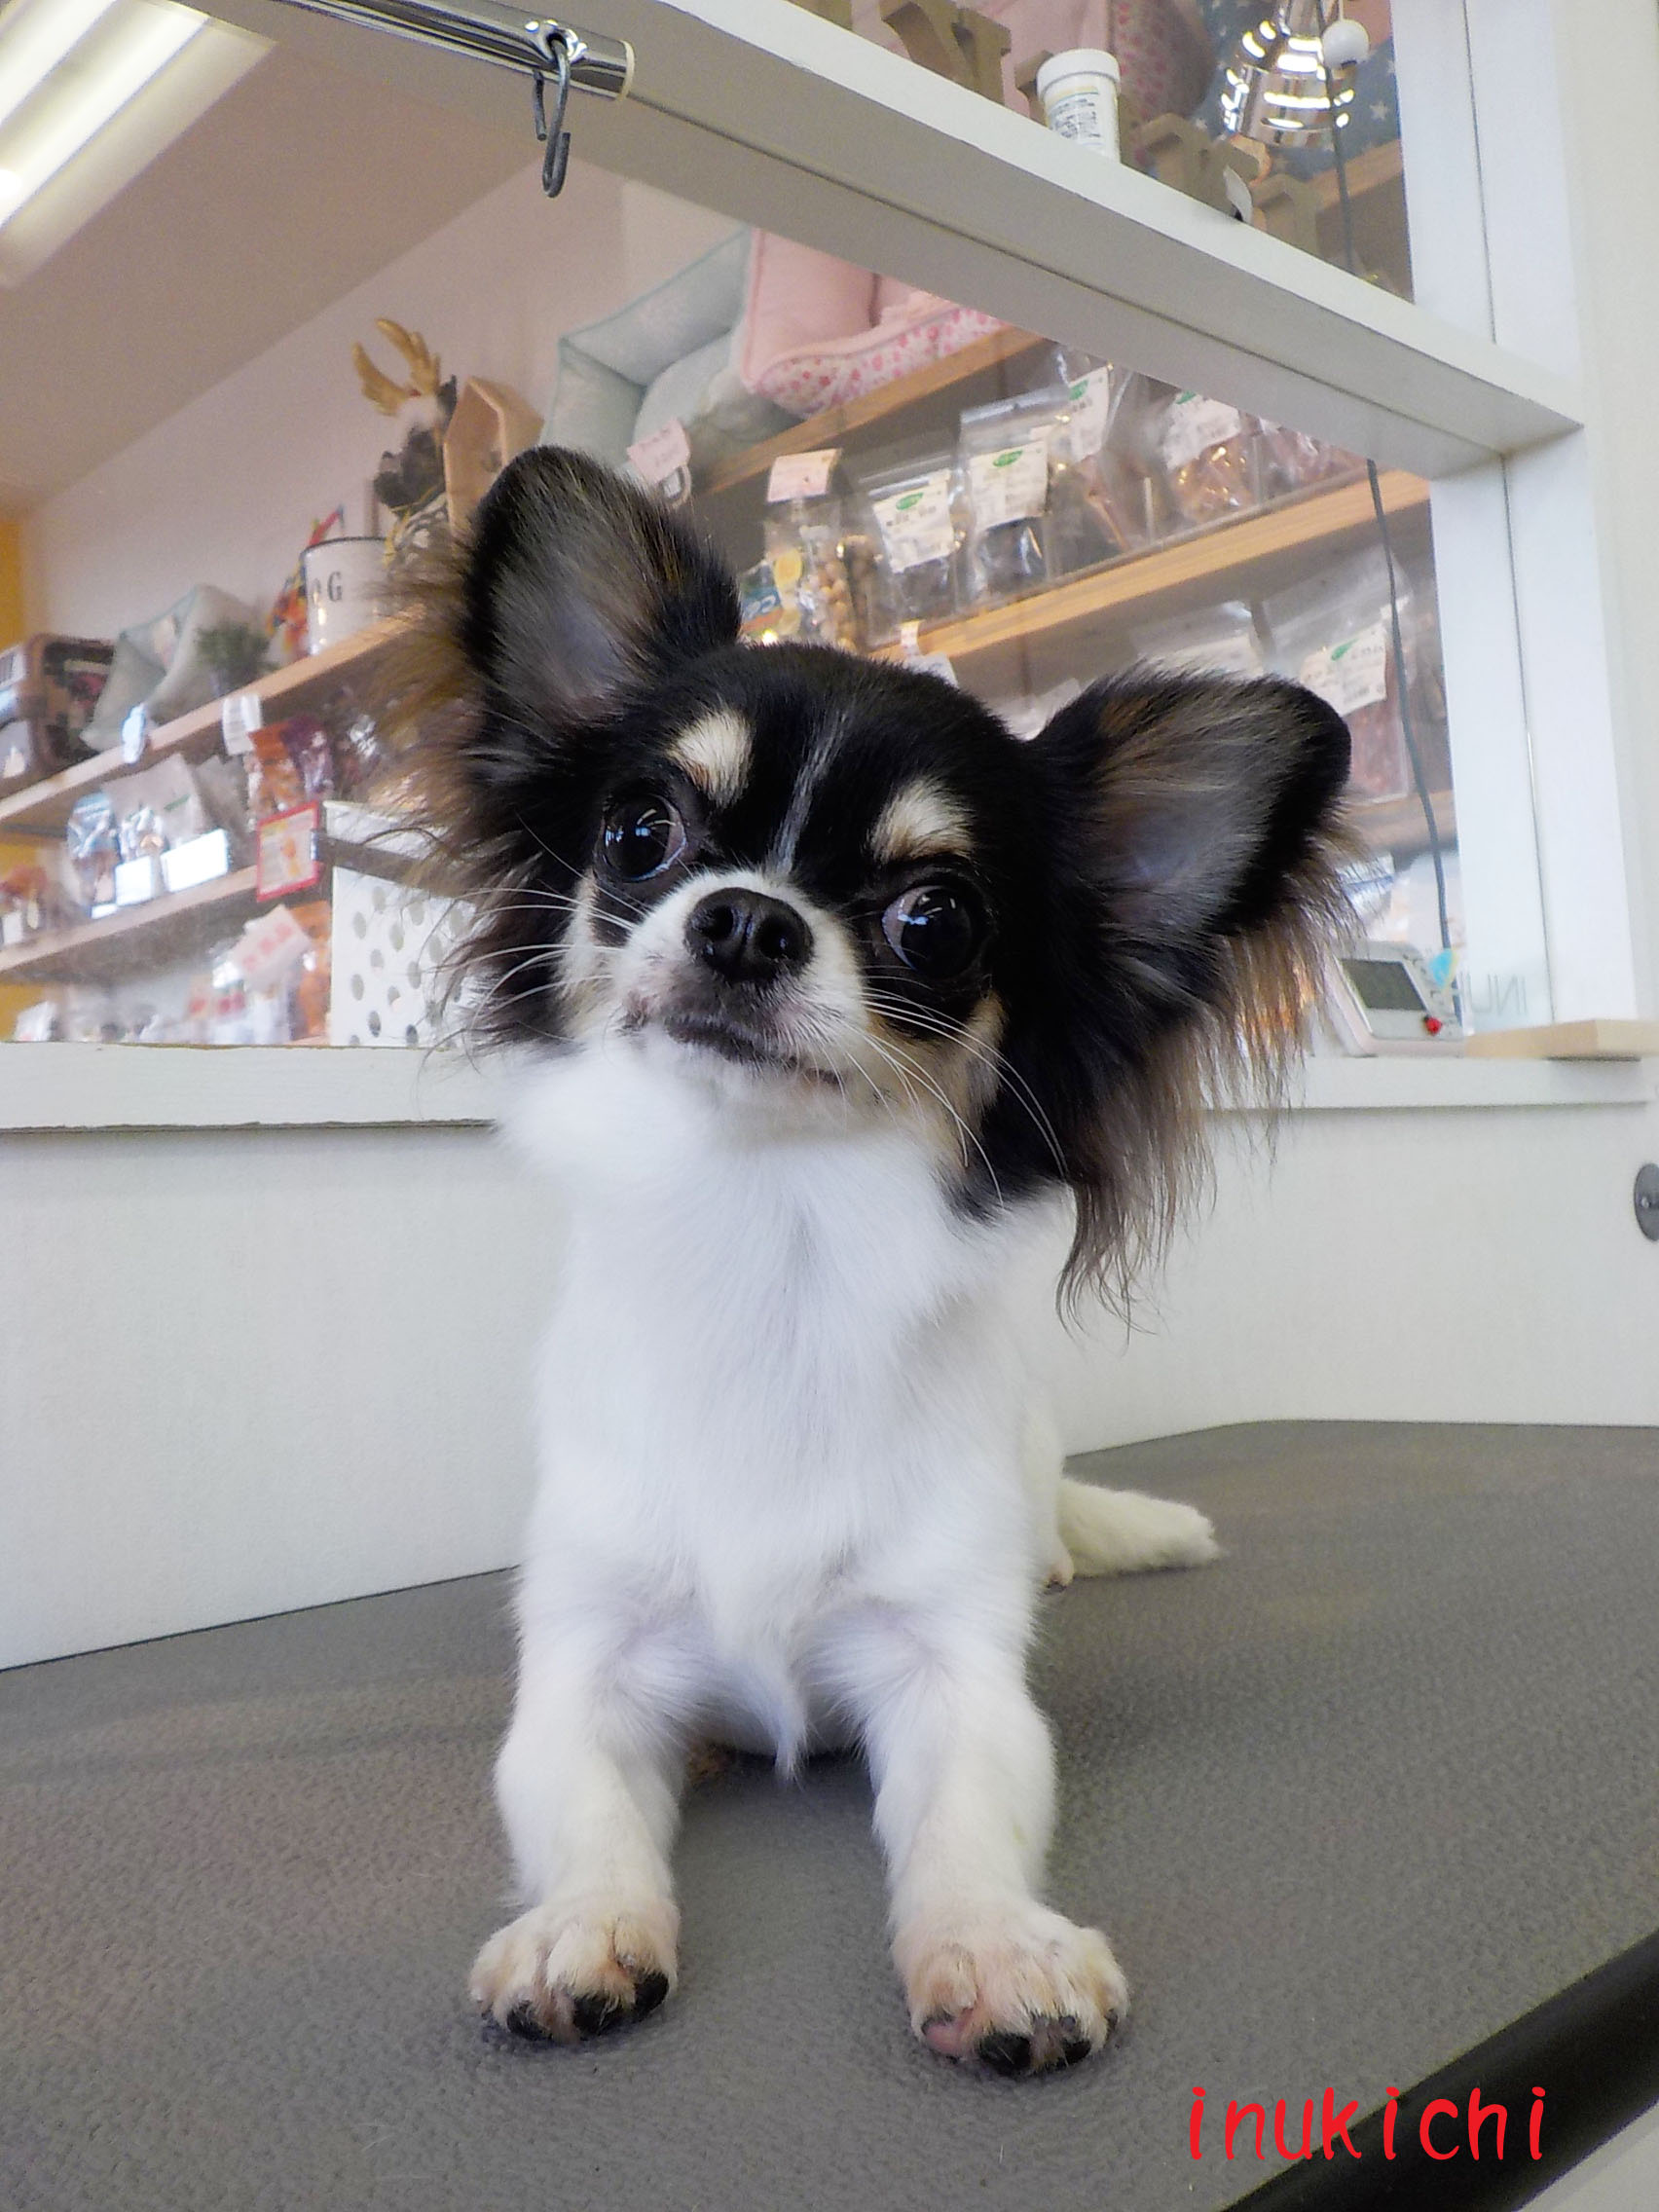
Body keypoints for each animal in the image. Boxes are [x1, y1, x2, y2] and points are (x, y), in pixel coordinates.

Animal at [397, 446, 1352, 2076]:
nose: (745, 918)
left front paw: (995, 1949)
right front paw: (584, 1924)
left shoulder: (946, 1669)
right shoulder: (594, 1666)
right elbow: (577, 1804)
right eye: (640, 835)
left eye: (935, 919)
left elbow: (968, 1816)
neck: (766, 1238)